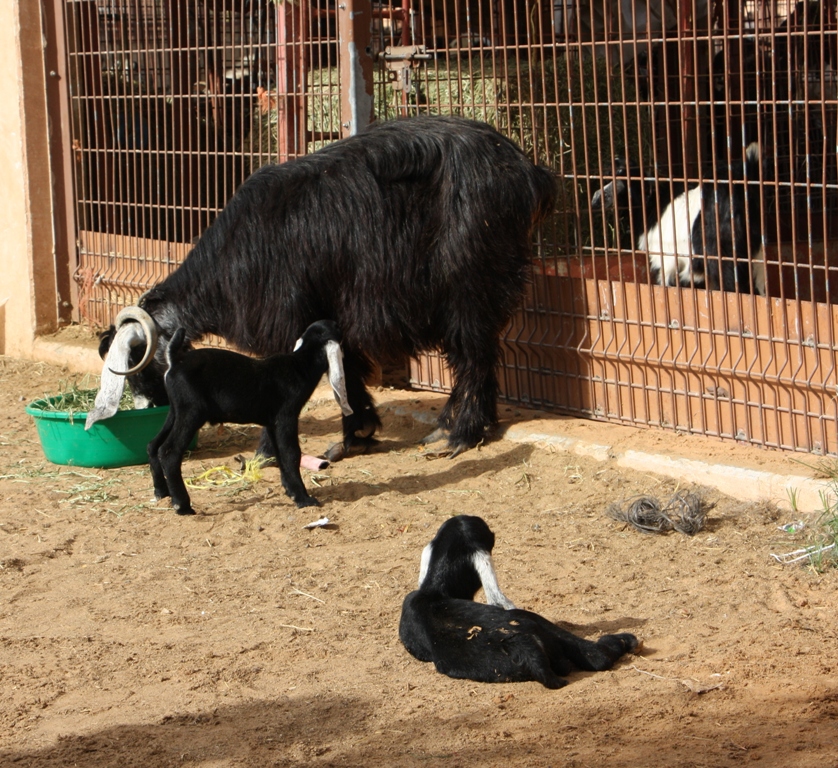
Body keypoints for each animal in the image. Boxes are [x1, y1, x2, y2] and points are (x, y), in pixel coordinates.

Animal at [90, 117, 556, 460]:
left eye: (135, 365)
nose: (151, 406)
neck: (234, 254)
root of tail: (528, 172)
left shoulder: (289, 319)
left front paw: (267, 452)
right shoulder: (331, 316)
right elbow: (345, 370)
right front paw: (357, 434)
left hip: (467, 282)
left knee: (473, 352)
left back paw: (460, 434)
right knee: (478, 353)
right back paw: (458, 427)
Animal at [148, 318, 352, 516]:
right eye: (336, 328)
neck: (300, 365)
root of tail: (176, 360)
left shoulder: (272, 424)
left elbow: (279, 454)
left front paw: (291, 491)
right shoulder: (286, 417)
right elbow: (291, 453)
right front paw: (303, 499)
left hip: (175, 411)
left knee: (153, 445)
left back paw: (161, 492)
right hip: (191, 413)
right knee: (169, 452)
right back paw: (182, 506)